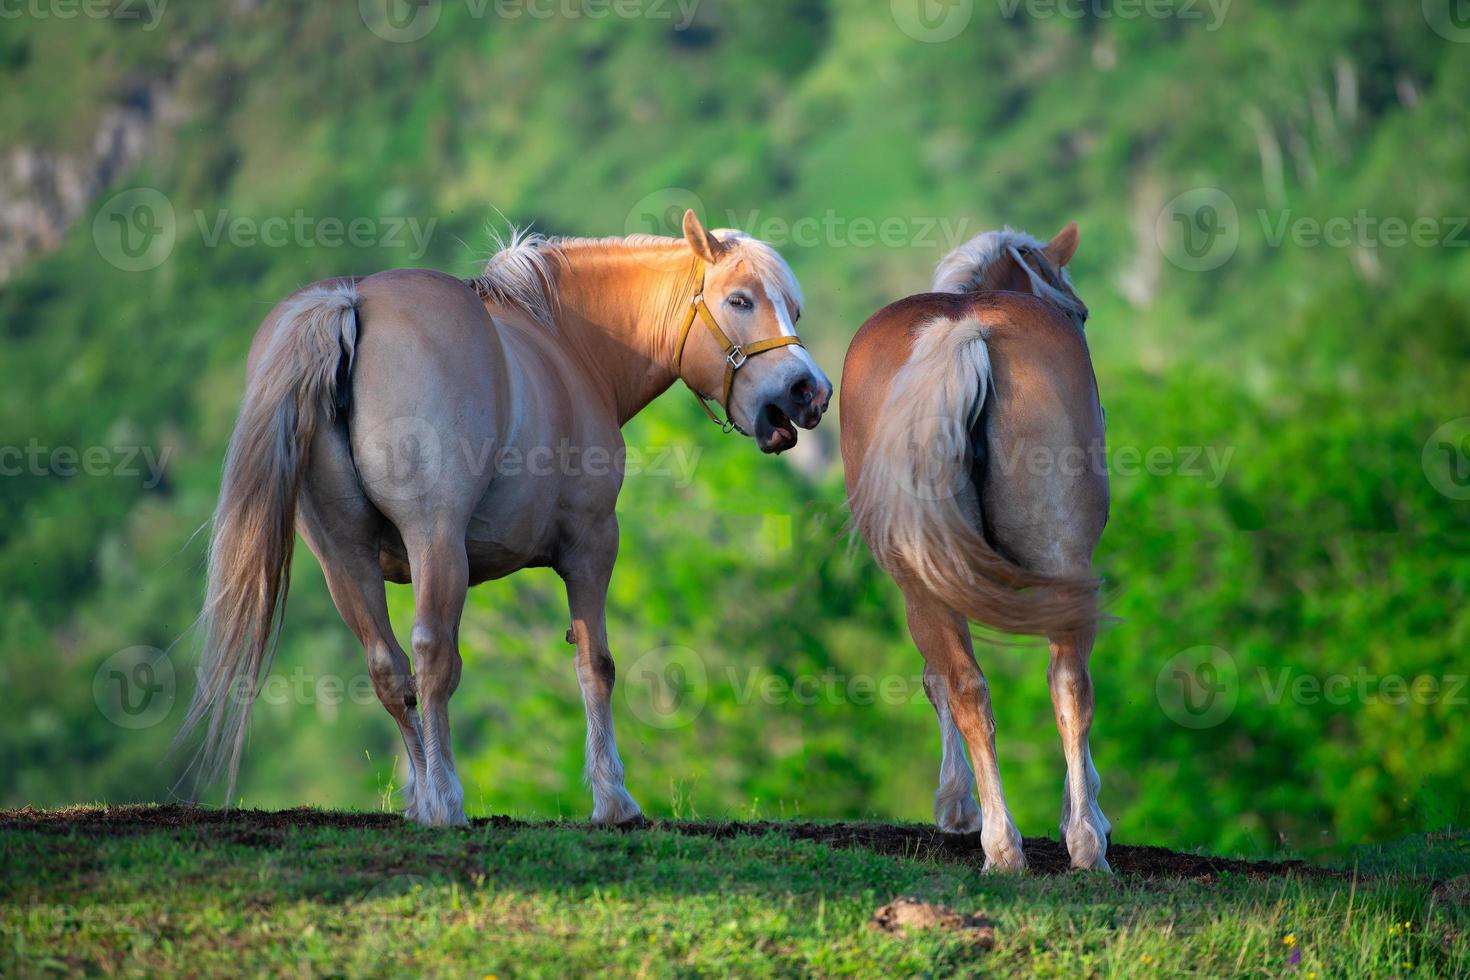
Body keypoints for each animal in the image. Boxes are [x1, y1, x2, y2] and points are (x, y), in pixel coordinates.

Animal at [177, 208, 834, 828]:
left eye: (794, 307)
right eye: (740, 300)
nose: (810, 390)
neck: (567, 345)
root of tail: (349, 301)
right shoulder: (593, 543)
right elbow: (595, 665)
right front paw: (613, 798)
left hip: (345, 558)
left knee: (389, 670)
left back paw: (426, 798)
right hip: (436, 543)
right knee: (433, 656)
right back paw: (447, 801)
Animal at [846, 224, 1105, 875]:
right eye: (1081, 313)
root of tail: (966, 331)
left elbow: (937, 680)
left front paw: (959, 807)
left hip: (931, 577)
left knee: (982, 685)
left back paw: (1017, 843)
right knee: (1062, 682)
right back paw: (1071, 841)